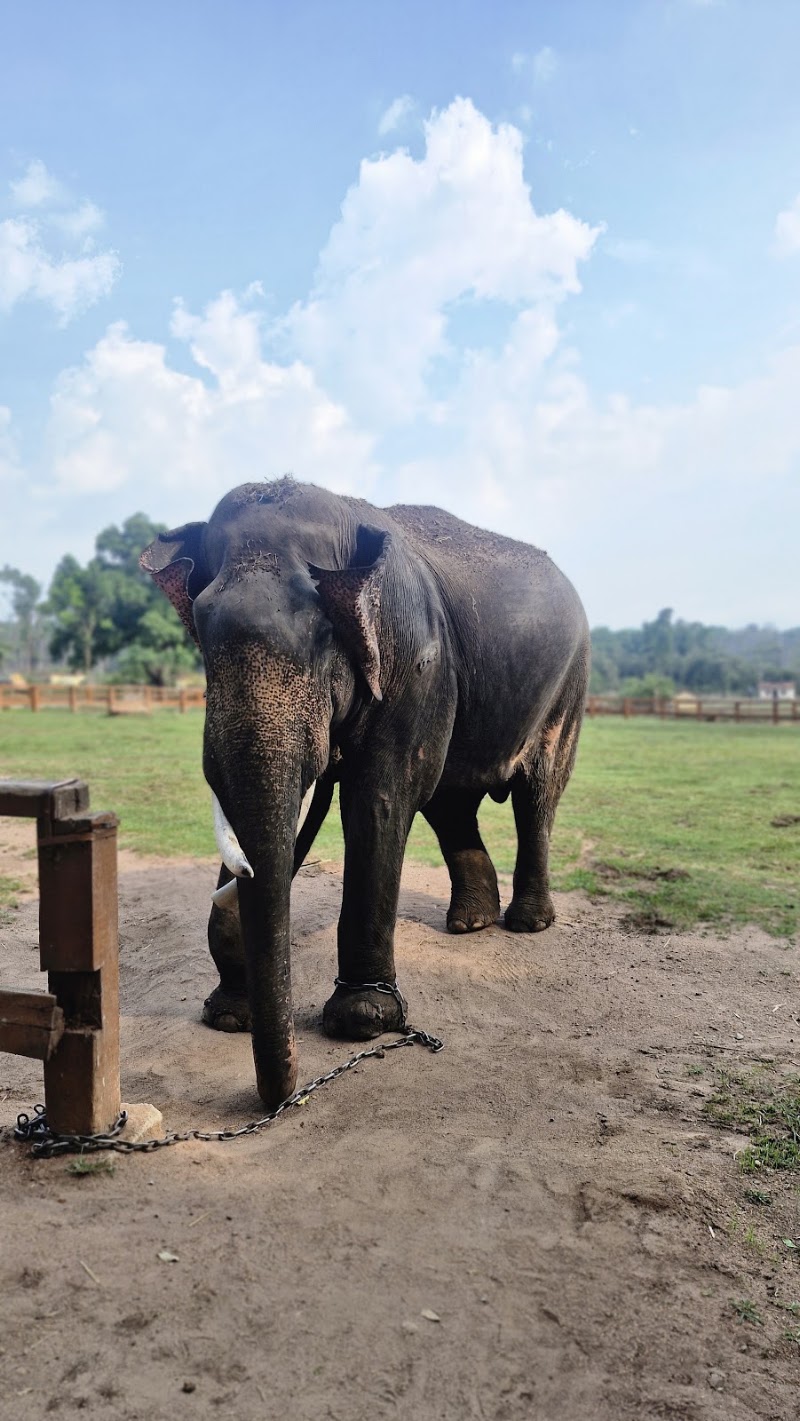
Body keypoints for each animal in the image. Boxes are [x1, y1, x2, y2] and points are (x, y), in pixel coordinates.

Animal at [141, 477, 589, 1108]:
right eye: (202, 634)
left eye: (325, 637)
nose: (283, 1097)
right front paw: (227, 1015)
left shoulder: (415, 661)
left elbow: (378, 798)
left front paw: (363, 1020)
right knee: (451, 803)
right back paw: (471, 924)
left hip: (569, 685)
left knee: (536, 793)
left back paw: (526, 924)